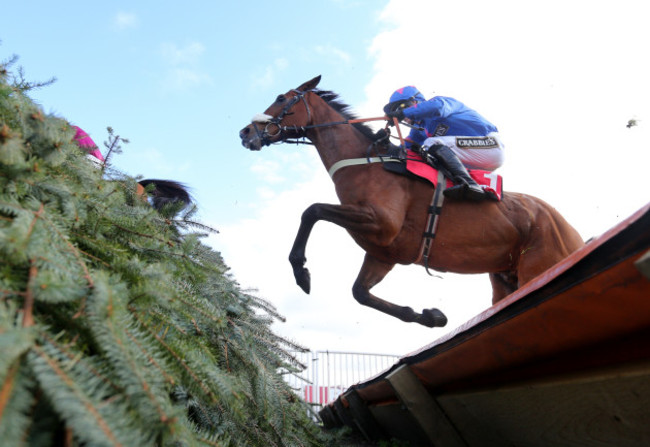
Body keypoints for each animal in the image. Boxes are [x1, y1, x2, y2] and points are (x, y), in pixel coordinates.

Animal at [238, 76, 584, 328]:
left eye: (281, 98)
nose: (245, 132)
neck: (368, 162)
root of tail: (570, 230)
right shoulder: (383, 251)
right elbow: (360, 293)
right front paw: (430, 316)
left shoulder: (380, 221)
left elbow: (312, 211)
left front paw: (302, 272)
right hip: (504, 278)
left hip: (540, 264)